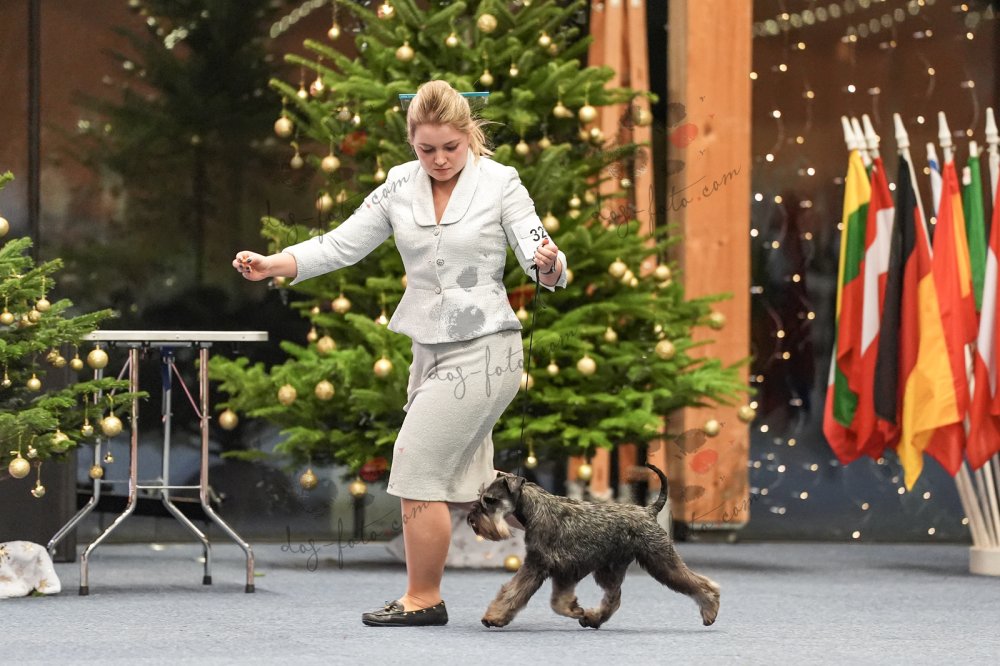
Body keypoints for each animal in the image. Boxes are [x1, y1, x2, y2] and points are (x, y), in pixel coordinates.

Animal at [467, 463, 720, 629]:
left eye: (489, 499)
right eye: (481, 496)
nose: (471, 519)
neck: (536, 510)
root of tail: (649, 511)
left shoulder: (537, 566)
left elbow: (514, 592)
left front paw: (494, 617)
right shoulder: (563, 571)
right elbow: (557, 601)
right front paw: (576, 609)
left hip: (661, 561)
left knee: (699, 584)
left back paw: (710, 609)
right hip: (610, 569)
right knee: (614, 597)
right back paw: (593, 618)